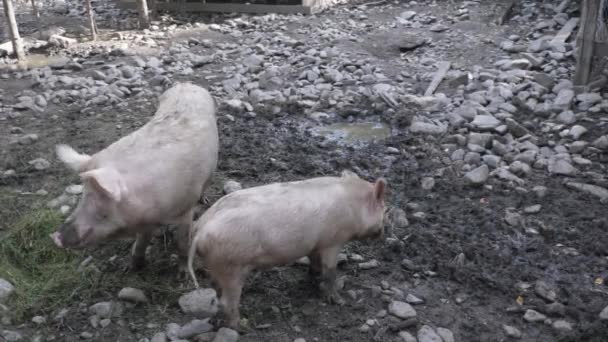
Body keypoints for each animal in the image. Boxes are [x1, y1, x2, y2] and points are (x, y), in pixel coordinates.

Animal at [188, 171, 388, 328]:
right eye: (384, 209)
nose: (382, 232)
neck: (354, 206)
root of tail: (200, 230)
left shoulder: (315, 244)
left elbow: (314, 261)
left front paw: (313, 277)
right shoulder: (332, 242)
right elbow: (330, 271)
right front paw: (339, 301)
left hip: (217, 264)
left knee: (216, 288)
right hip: (232, 267)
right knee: (227, 301)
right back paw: (242, 327)